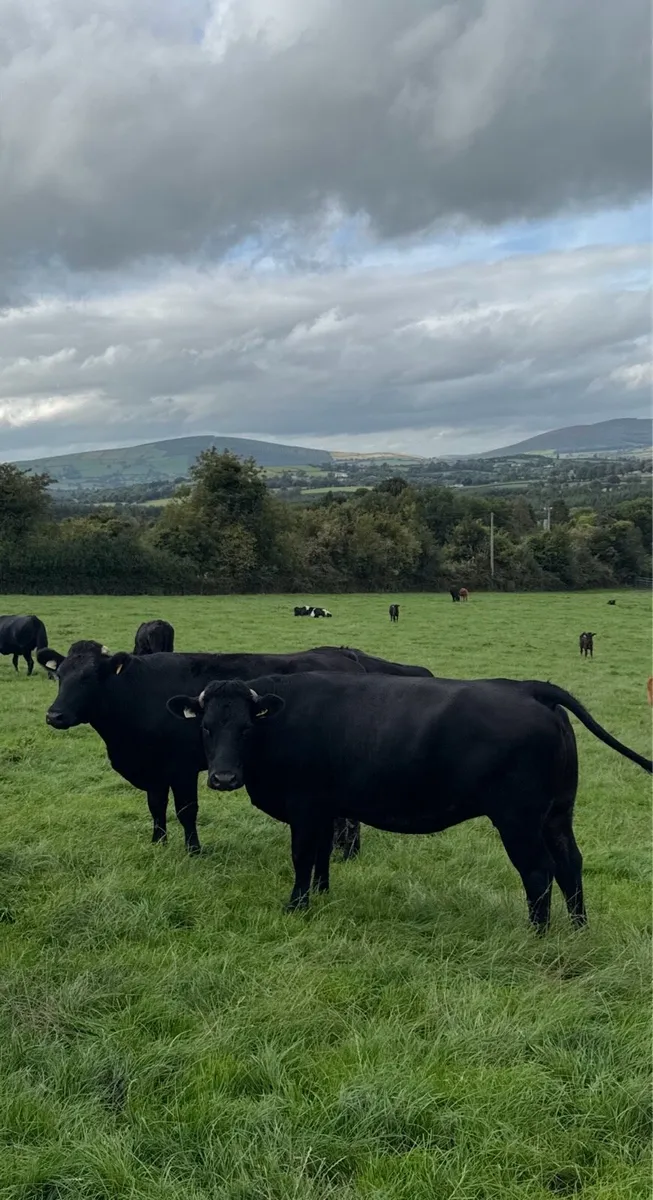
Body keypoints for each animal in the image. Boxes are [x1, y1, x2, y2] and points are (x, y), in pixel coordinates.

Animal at [37, 642, 364, 856]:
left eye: (89, 677)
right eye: (59, 675)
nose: (54, 715)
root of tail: (342, 653)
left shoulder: (181, 768)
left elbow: (186, 810)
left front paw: (193, 850)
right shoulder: (154, 769)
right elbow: (156, 806)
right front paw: (158, 843)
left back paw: (347, 852)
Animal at [168, 672, 651, 932]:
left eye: (246, 728)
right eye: (206, 727)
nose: (223, 778)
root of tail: (527, 687)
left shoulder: (304, 806)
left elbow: (302, 856)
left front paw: (296, 906)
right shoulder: (326, 807)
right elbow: (322, 855)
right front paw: (322, 894)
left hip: (519, 819)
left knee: (538, 871)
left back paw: (538, 934)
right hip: (557, 814)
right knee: (570, 864)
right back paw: (579, 929)